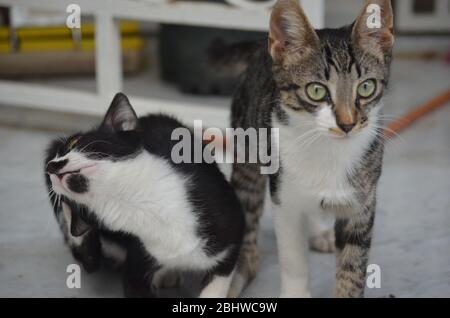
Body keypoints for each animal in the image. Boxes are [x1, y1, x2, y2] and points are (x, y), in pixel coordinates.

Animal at [44, 92, 244, 298]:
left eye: (74, 143)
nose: (50, 166)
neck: (144, 203)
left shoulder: (231, 234)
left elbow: (218, 282)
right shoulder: (139, 256)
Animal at [227, 0, 392, 298]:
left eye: (366, 87)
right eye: (316, 91)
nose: (347, 123)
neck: (328, 149)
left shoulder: (363, 200)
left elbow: (353, 264)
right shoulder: (283, 197)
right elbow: (293, 256)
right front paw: (295, 291)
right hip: (248, 148)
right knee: (247, 203)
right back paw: (239, 271)